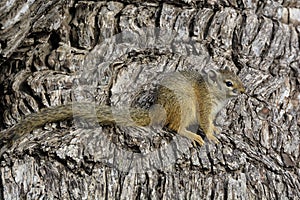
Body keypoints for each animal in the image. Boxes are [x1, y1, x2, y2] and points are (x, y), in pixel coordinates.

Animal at [0, 68, 245, 148]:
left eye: (237, 77)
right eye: (228, 83)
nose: (243, 90)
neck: (216, 94)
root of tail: (158, 109)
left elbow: (211, 122)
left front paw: (216, 130)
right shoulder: (204, 105)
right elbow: (205, 121)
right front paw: (211, 136)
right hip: (184, 106)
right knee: (175, 127)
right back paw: (191, 135)